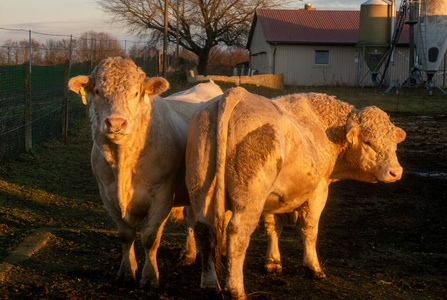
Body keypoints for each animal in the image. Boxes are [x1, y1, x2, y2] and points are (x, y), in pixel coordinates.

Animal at [69, 57, 223, 290]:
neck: (123, 162)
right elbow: (126, 234)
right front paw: (126, 271)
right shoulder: (106, 194)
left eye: (135, 93)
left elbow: (150, 237)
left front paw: (150, 277)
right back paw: (188, 253)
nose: (115, 123)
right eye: (97, 91)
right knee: (190, 217)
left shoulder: (163, 195)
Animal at [186, 88, 406, 298]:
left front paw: (273, 262)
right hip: (250, 196)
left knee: (203, 230)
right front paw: (313, 267)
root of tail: (237, 93)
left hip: (201, 188)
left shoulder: (273, 197)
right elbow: (309, 229)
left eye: (393, 142)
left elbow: (273, 227)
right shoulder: (319, 190)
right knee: (237, 233)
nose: (395, 172)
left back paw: (209, 285)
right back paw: (235, 290)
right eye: (368, 142)